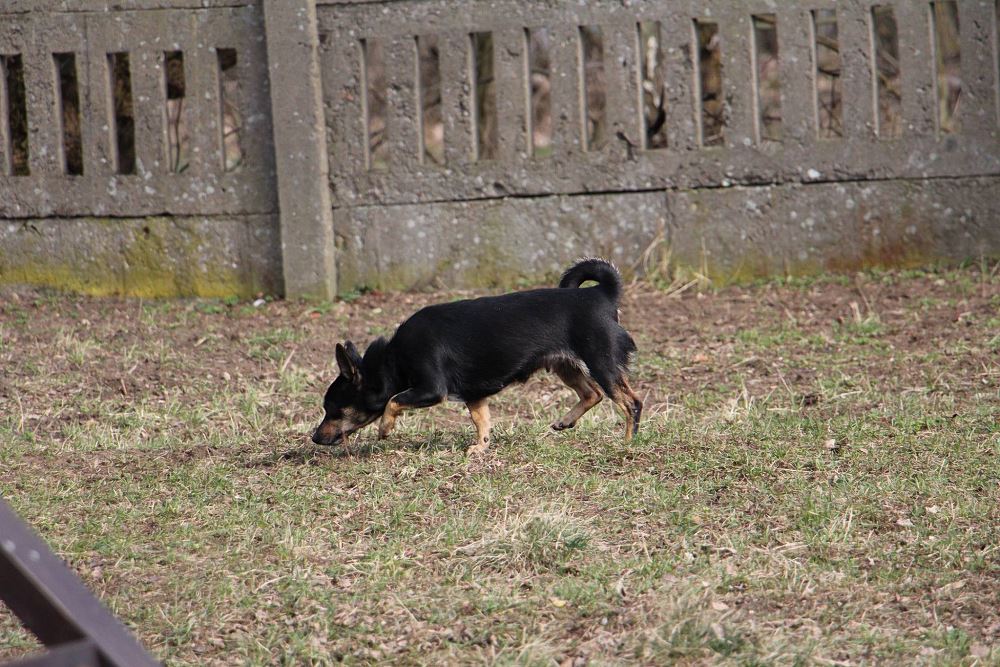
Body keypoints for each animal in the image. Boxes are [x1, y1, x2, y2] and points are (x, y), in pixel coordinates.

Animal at [312, 258, 642, 453]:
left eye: (334, 411)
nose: (314, 437)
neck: (392, 360)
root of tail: (601, 294)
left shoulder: (432, 390)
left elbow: (393, 400)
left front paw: (385, 428)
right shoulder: (474, 396)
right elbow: (482, 422)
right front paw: (480, 449)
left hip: (602, 363)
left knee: (631, 402)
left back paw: (627, 442)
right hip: (566, 366)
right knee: (592, 394)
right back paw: (565, 422)